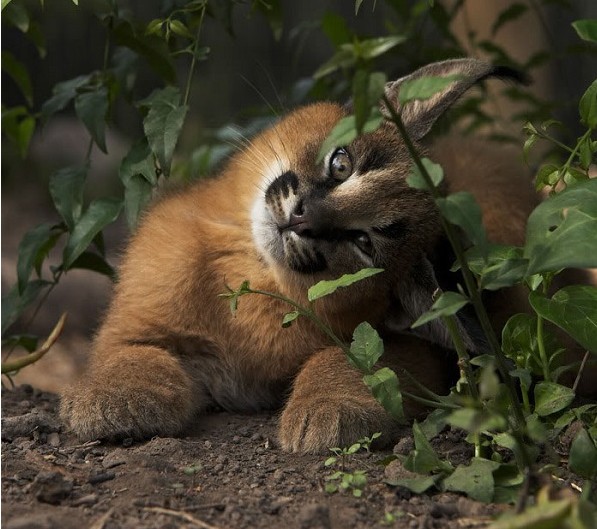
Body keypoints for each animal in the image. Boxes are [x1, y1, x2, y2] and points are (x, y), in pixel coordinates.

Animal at [61, 59, 544, 452]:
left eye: (364, 243)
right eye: (342, 164)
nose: (301, 219)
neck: (246, 264)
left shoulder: (422, 351)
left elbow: (353, 358)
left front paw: (330, 407)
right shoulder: (133, 321)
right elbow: (130, 351)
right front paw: (116, 395)